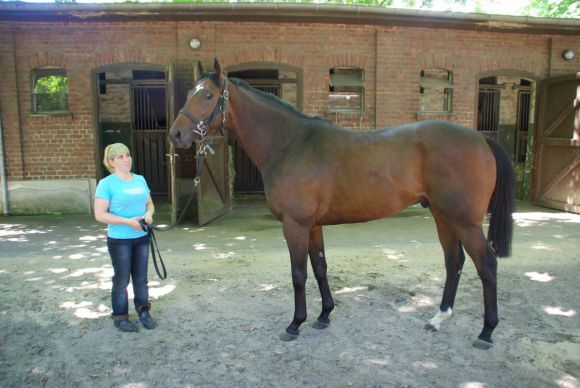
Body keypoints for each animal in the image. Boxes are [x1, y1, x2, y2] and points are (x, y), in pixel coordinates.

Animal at [170, 59, 516, 350]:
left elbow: (298, 273)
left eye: (208, 96)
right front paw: (324, 315)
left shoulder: (295, 225)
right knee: (453, 261)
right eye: (189, 93)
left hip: (465, 221)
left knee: (486, 265)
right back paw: (439, 318)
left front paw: (295, 324)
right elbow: (320, 267)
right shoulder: (313, 226)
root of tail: (481, 139)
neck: (290, 144)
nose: (176, 134)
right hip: (443, 215)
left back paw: (486, 332)